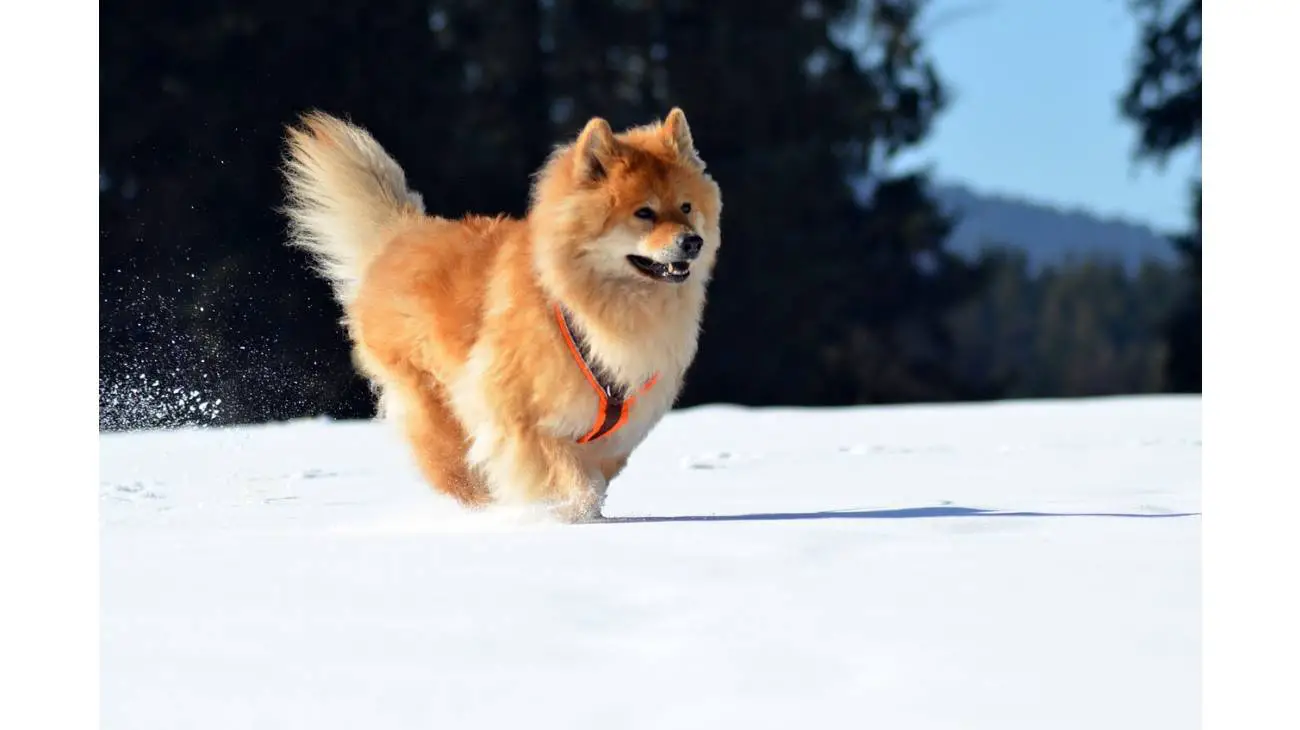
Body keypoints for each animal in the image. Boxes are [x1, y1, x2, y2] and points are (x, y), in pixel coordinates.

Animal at [279, 106, 722, 516]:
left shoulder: (617, 433)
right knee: (454, 471)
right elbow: (569, 481)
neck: (584, 302)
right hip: (434, 402)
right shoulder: (518, 416)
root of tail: (401, 234)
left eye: (686, 207)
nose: (693, 242)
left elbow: (594, 481)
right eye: (644, 213)